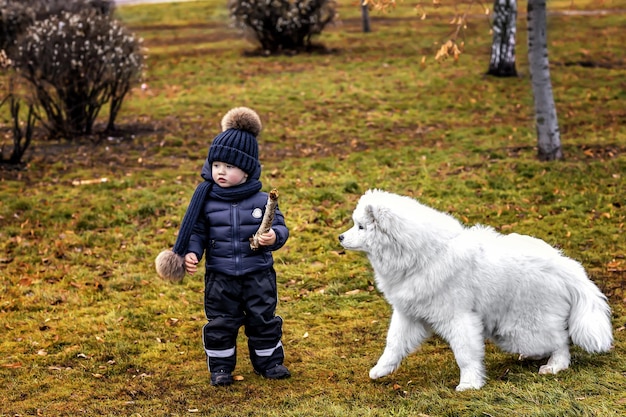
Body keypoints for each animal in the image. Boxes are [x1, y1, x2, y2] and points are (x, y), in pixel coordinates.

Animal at [338, 188, 612, 390]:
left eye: (361, 227)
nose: (340, 237)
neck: (424, 255)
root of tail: (566, 266)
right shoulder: (409, 314)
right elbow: (394, 344)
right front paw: (380, 370)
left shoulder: (458, 317)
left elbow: (465, 353)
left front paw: (469, 385)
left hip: (522, 325)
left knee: (561, 341)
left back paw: (555, 365)